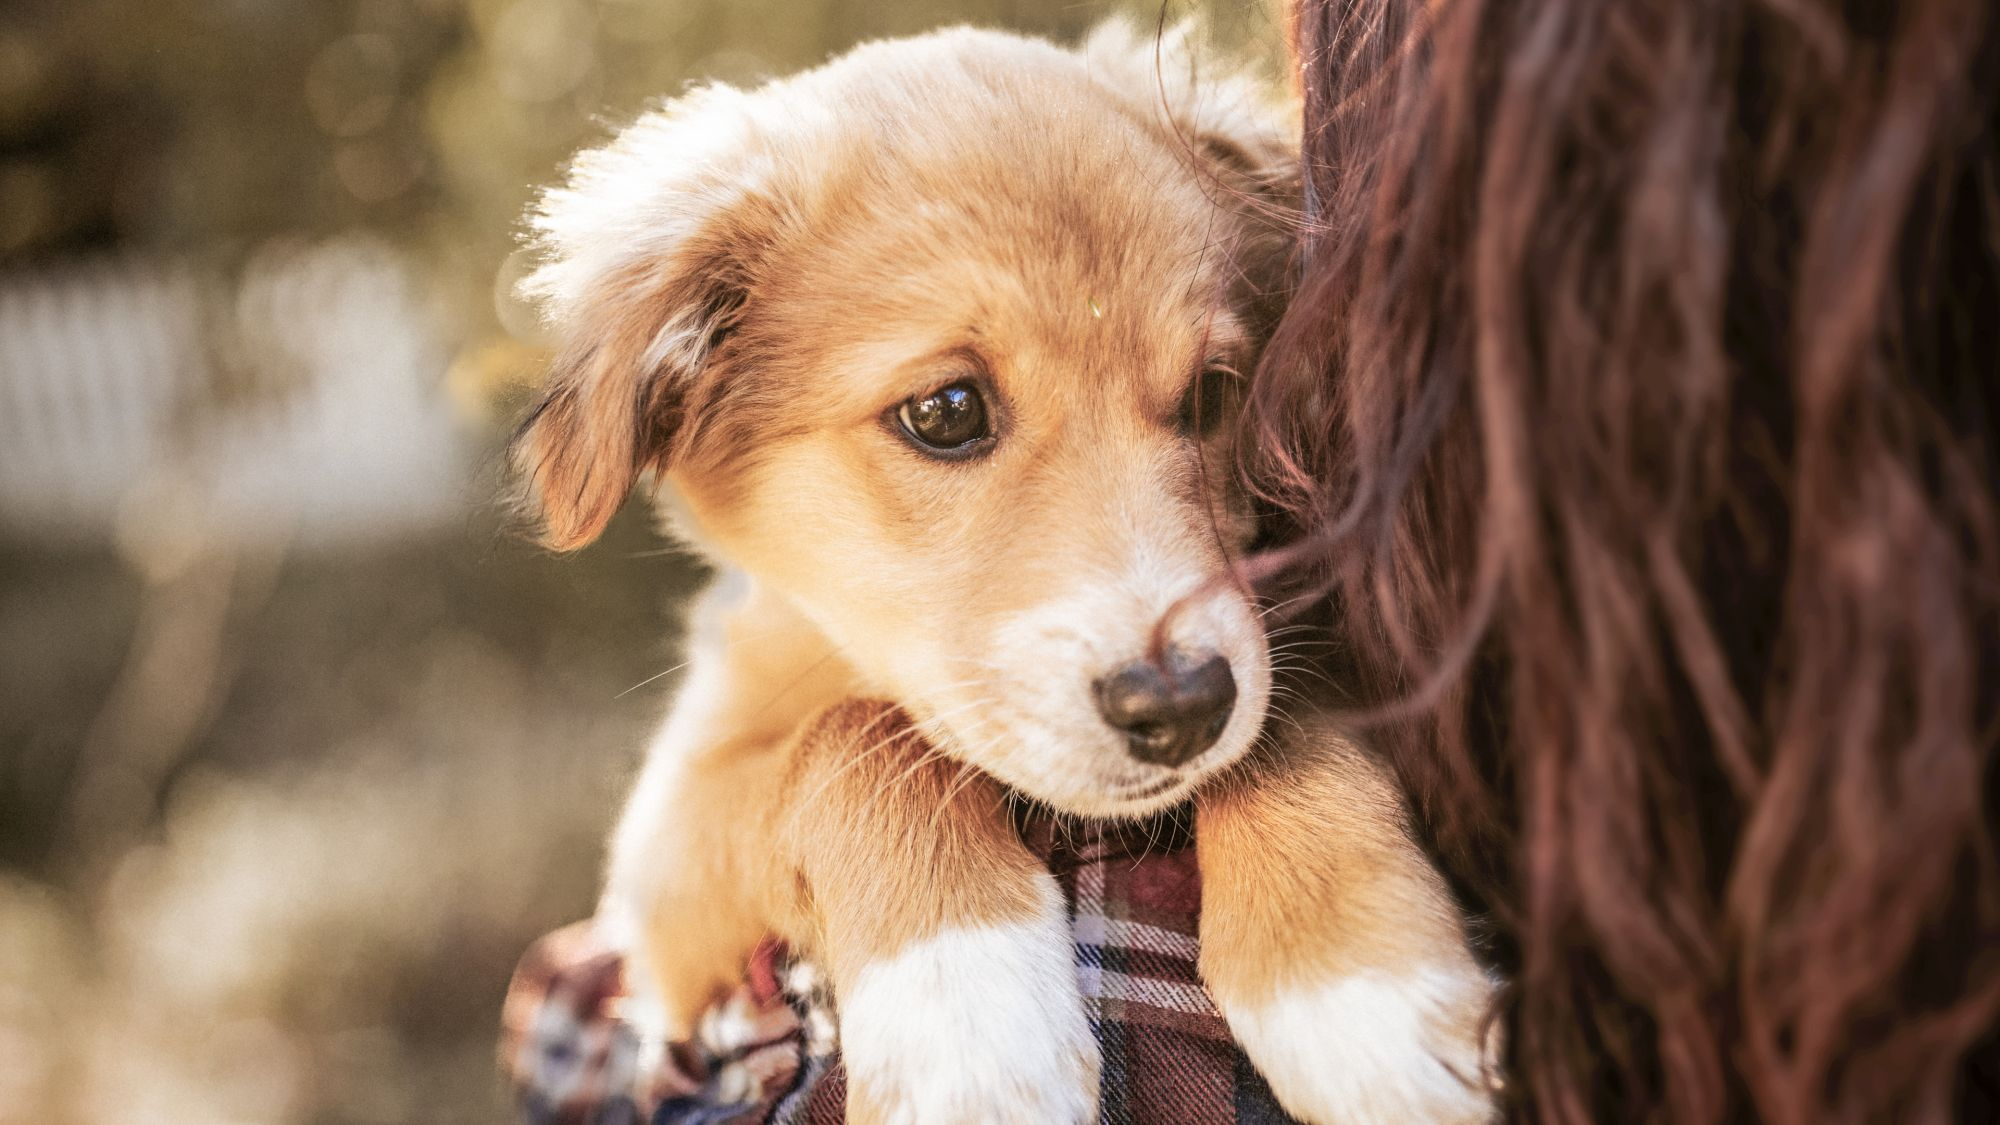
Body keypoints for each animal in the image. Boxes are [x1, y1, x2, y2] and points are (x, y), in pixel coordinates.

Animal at [516, 19, 1504, 1120]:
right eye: (945, 411)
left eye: (1214, 393)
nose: (1178, 711)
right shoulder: (672, 868)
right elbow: (855, 737)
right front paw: (969, 1031)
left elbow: (1278, 712)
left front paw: (1361, 990)